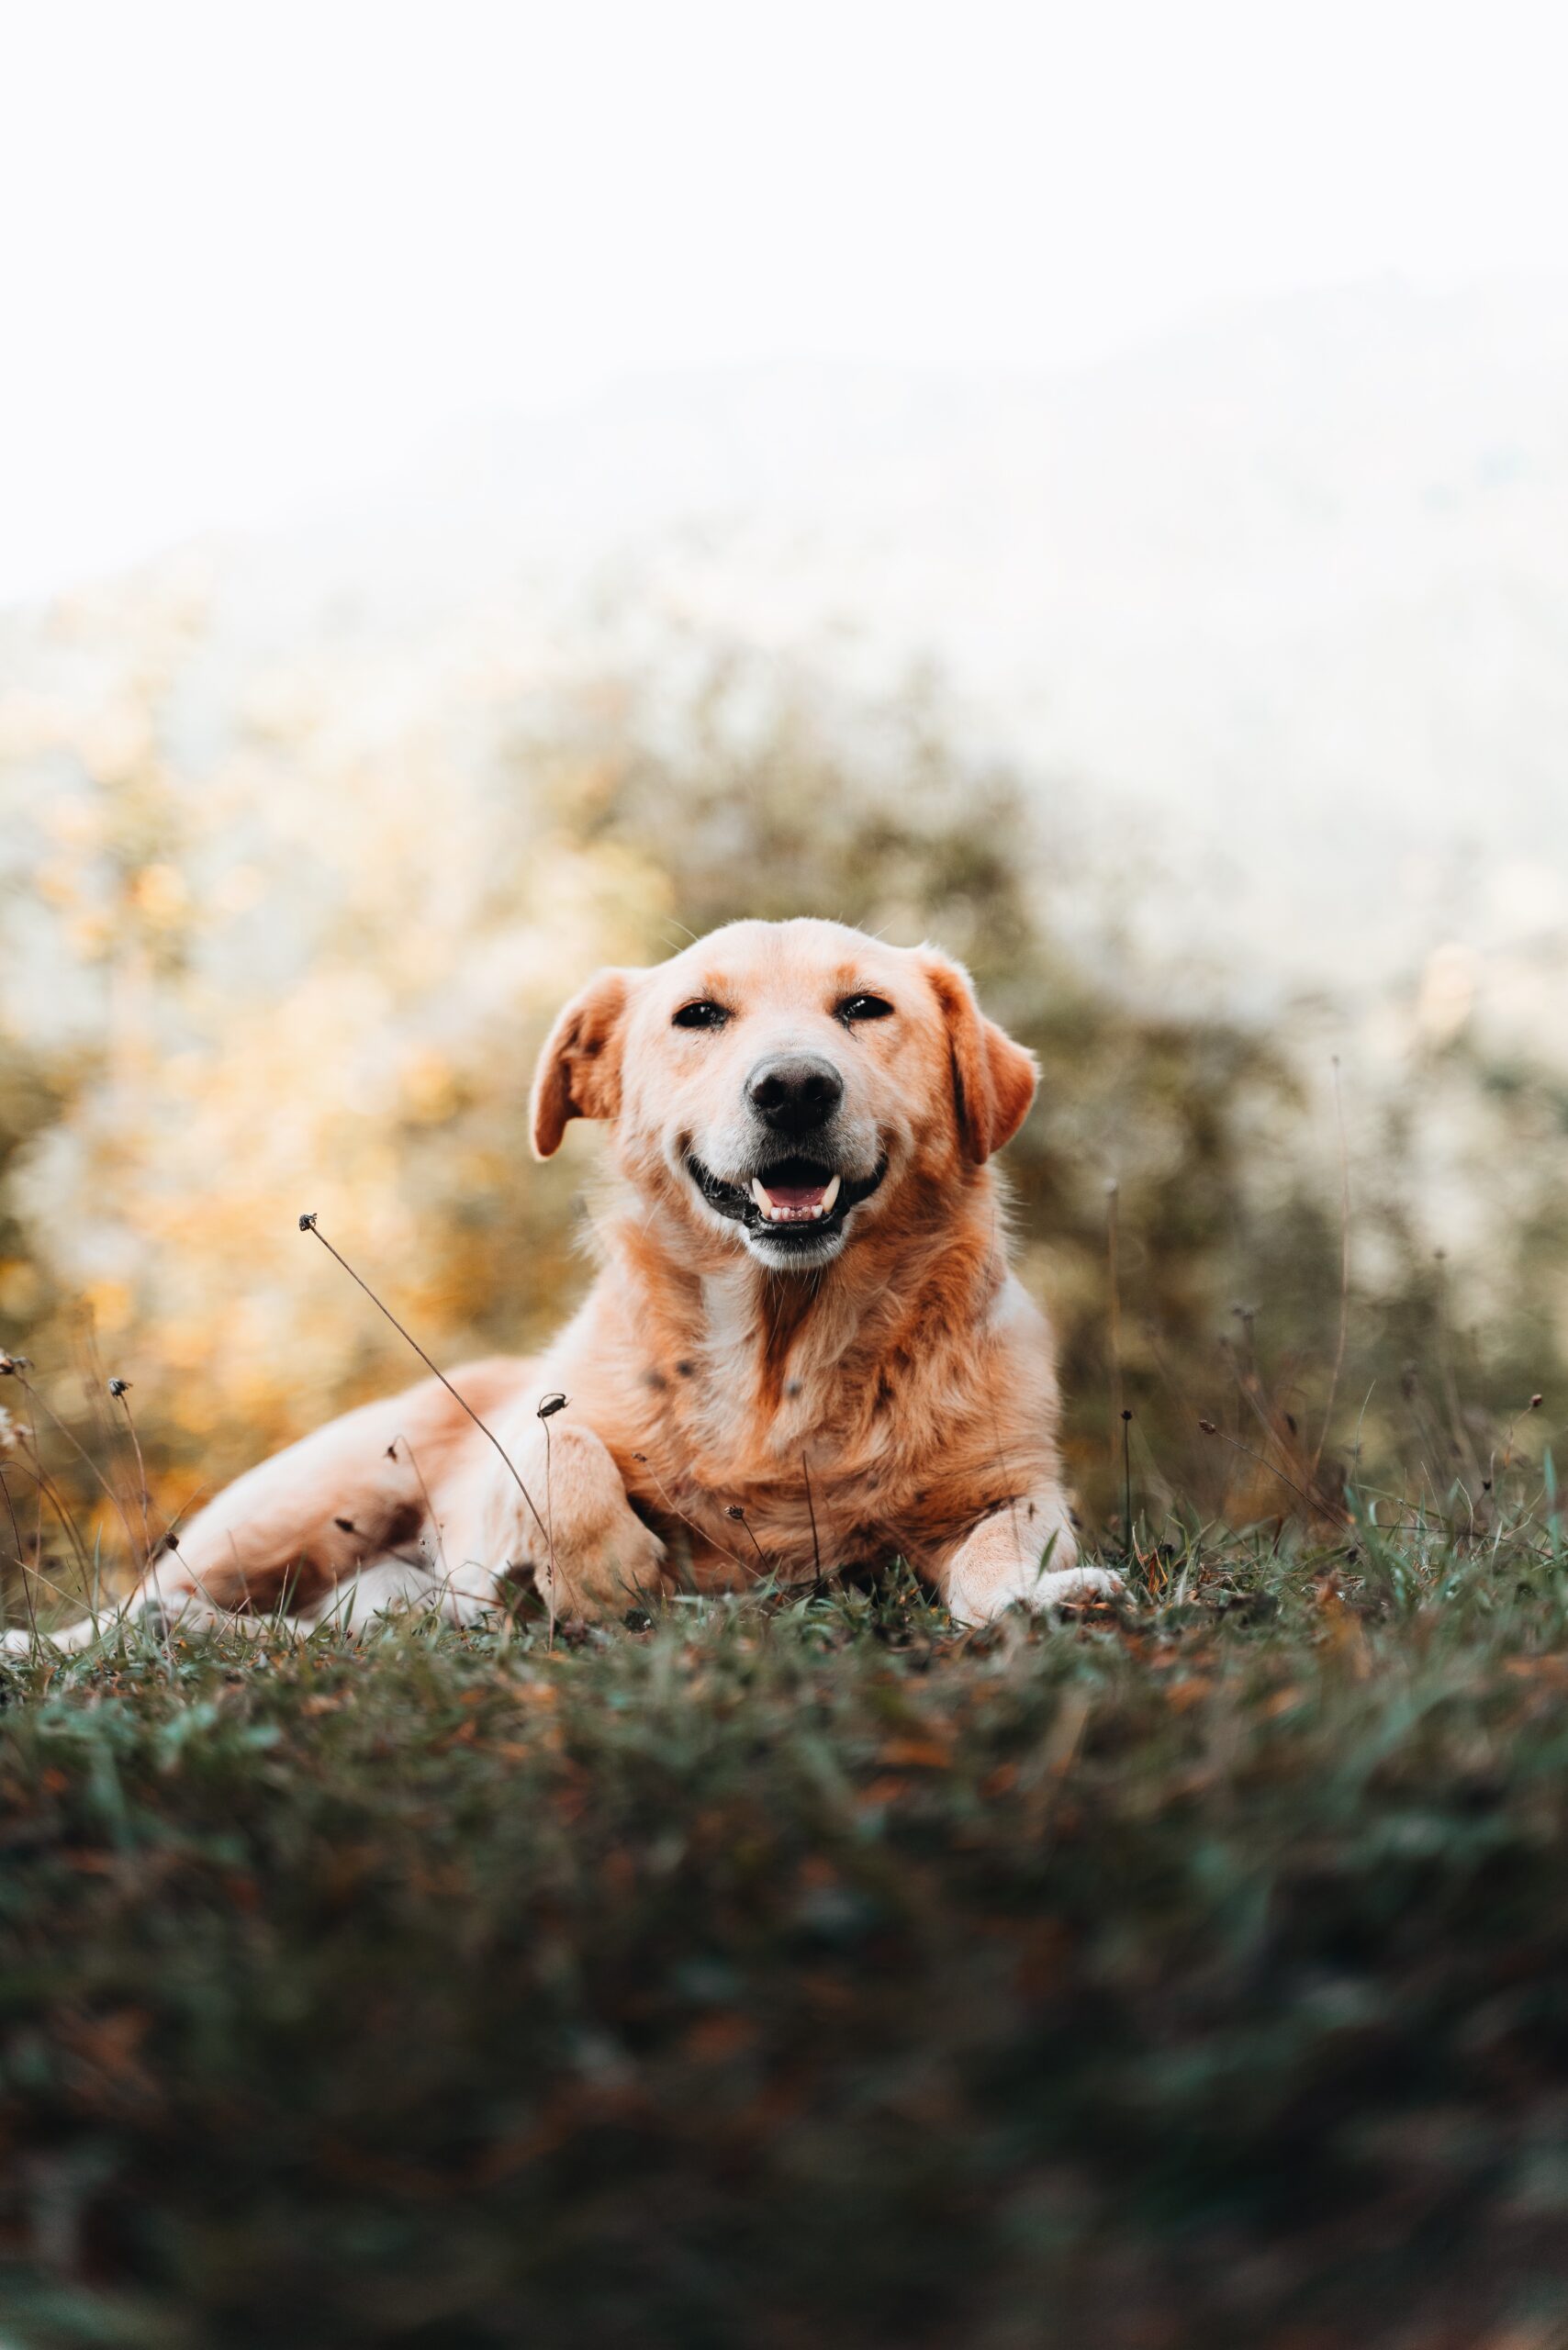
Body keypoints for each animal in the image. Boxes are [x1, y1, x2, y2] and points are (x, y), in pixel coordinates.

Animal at [6, 916, 1124, 1654]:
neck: (779, 1359)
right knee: (133, 1611)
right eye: (699, 1015)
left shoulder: (1017, 1484)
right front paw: (605, 1571)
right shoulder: (522, 1452)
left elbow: (999, 1552)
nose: (795, 1087)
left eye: (865, 1008)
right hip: (298, 1506)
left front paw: (1045, 1598)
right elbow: (563, 1454)